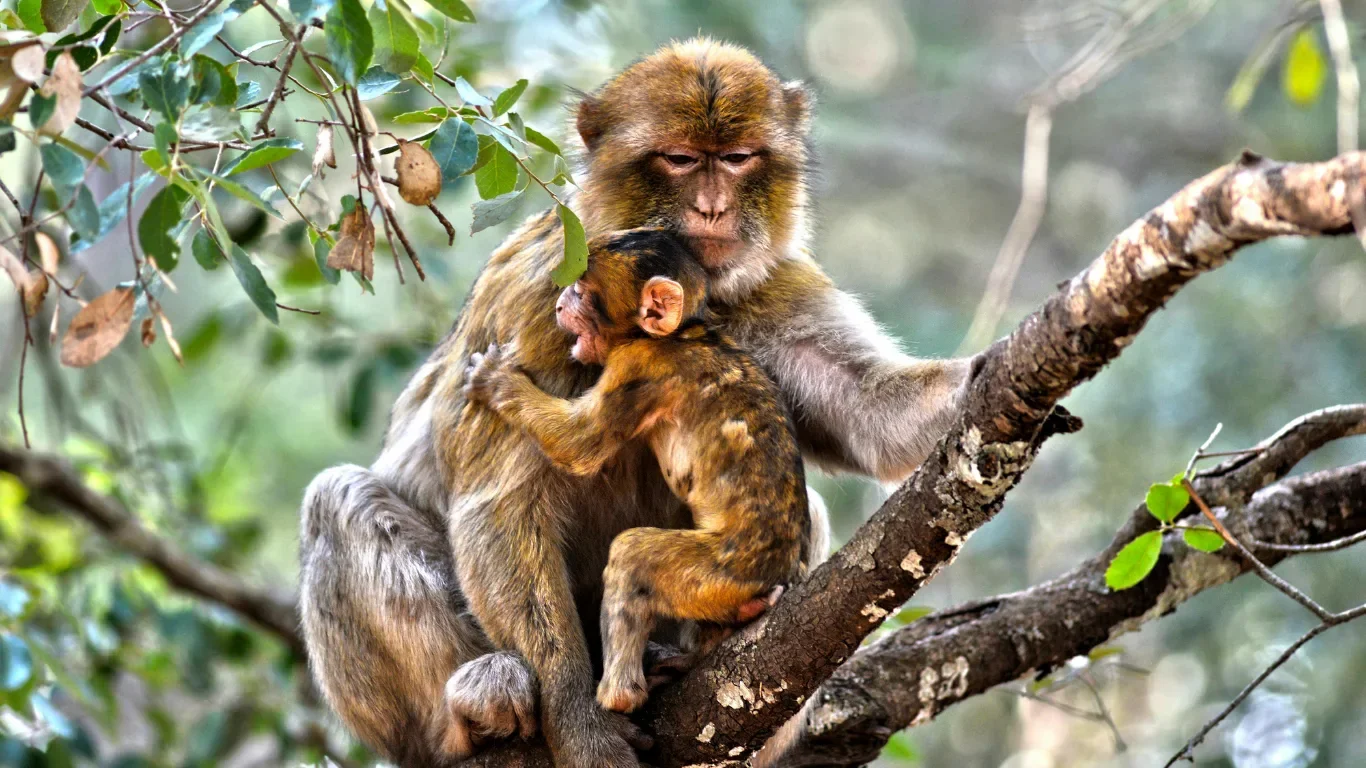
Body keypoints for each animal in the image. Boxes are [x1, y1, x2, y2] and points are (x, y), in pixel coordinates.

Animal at [461, 228, 811, 714]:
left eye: (582, 291)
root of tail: (787, 568)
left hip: (728, 570)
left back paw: (619, 695)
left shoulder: (639, 365)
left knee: (633, 556)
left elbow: (581, 443)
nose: (559, 304)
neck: (683, 333)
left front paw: (498, 383)